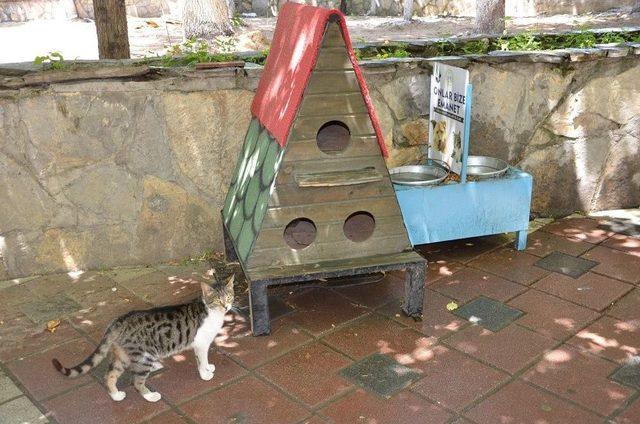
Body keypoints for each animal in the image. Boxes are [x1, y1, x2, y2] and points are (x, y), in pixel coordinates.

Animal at [50, 274, 235, 400]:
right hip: (144, 357)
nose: (226, 307)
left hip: (123, 356)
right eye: (217, 300)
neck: (212, 312)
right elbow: (200, 360)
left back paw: (116, 396)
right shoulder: (200, 343)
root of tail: (119, 320)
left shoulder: (205, 344)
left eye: (229, 297)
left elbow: (205, 359)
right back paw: (150, 396)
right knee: (136, 382)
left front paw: (209, 367)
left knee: (109, 375)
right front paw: (205, 374)